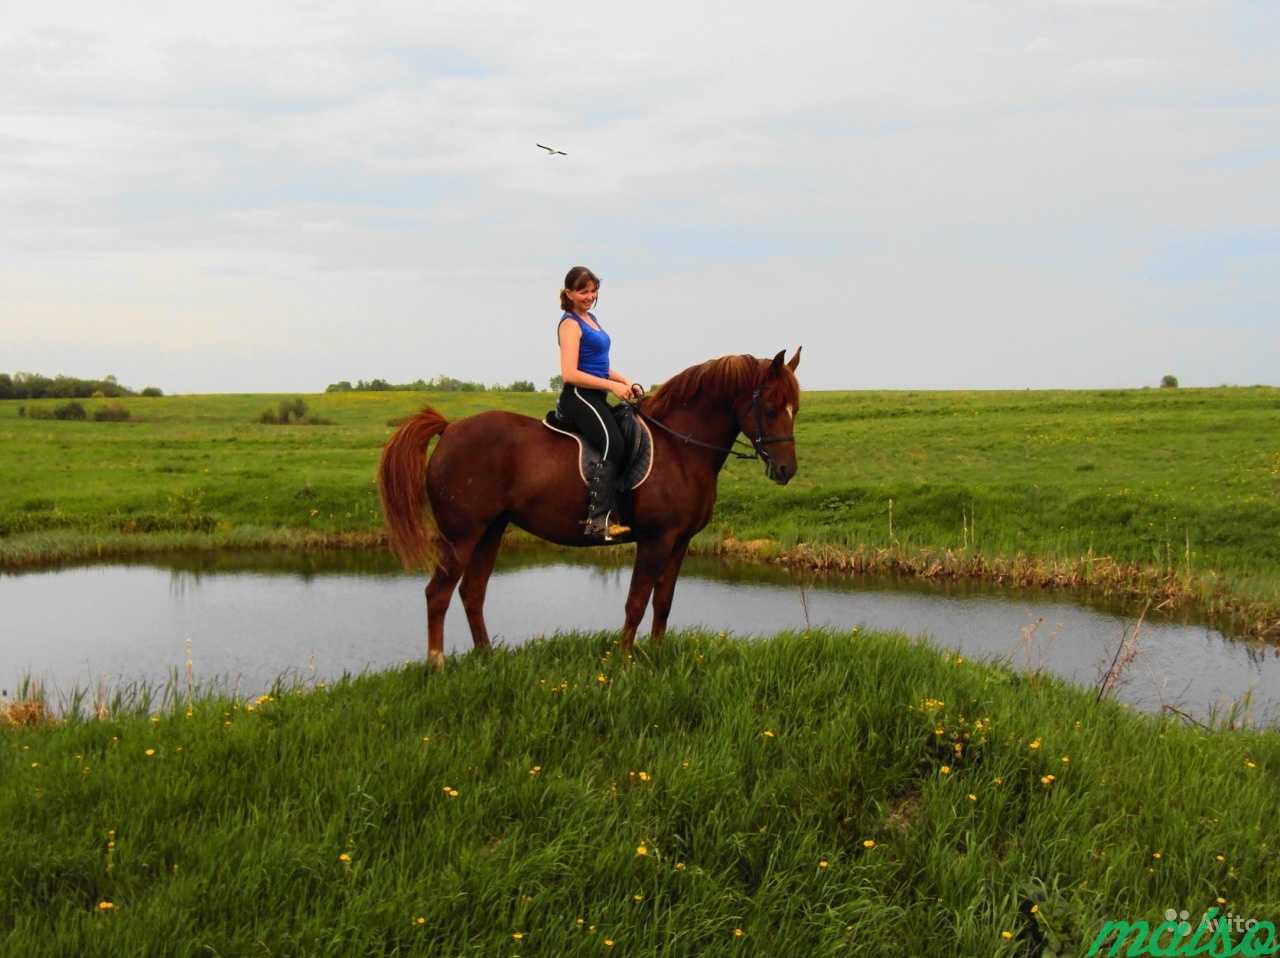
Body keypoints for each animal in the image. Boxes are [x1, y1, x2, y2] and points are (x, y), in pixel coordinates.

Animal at [376, 348, 798, 671]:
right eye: (771, 408)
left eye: (795, 407)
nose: (786, 470)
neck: (681, 448)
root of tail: (449, 429)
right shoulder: (656, 541)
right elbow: (636, 602)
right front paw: (625, 662)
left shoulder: (679, 542)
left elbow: (663, 601)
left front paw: (657, 654)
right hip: (462, 535)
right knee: (438, 593)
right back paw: (437, 664)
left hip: (491, 530)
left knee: (472, 592)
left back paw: (488, 657)